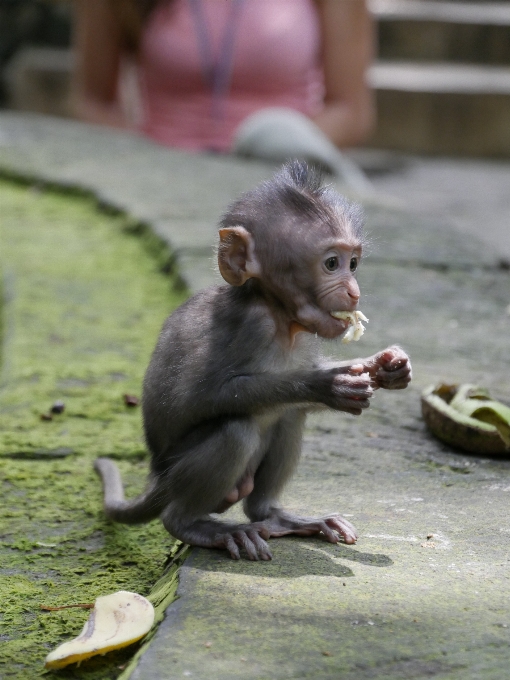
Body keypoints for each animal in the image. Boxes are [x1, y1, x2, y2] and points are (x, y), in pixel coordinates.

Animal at [95, 162, 412, 560]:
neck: (280, 317)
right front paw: (329, 385)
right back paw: (193, 525)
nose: (353, 292)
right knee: (238, 430)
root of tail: (156, 474)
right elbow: (203, 396)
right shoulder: (252, 324)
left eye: (353, 263)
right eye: (331, 263)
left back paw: (274, 516)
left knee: (289, 415)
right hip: (178, 475)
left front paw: (384, 366)